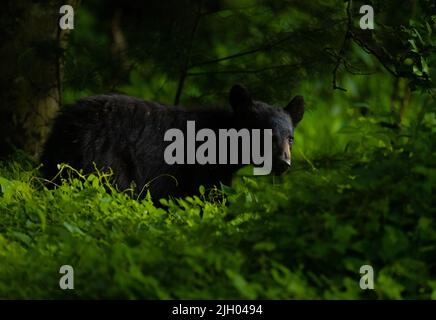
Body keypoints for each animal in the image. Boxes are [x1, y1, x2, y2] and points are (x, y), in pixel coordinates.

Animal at [42, 85, 304, 200]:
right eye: (265, 134)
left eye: (290, 138)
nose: (284, 163)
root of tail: (65, 122)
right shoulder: (200, 168)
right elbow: (206, 197)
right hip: (103, 158)